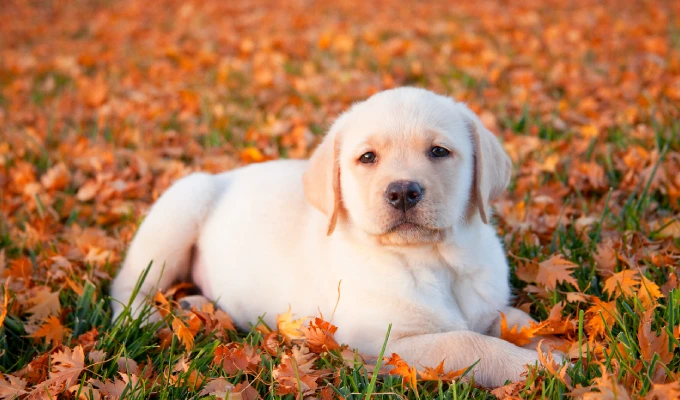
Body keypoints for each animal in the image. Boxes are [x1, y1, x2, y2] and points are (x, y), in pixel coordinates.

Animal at [113, 87, 548, 388]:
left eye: (439, 151)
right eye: (368, 158)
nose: (403, 192)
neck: (434, 260)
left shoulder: (485, 307)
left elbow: (513, 320)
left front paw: (544, 344)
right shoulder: (382, 342)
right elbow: (463, 343)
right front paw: (534, 366)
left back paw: (195, 306)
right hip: (180, 206)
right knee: (127, 283)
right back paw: (146, 317)